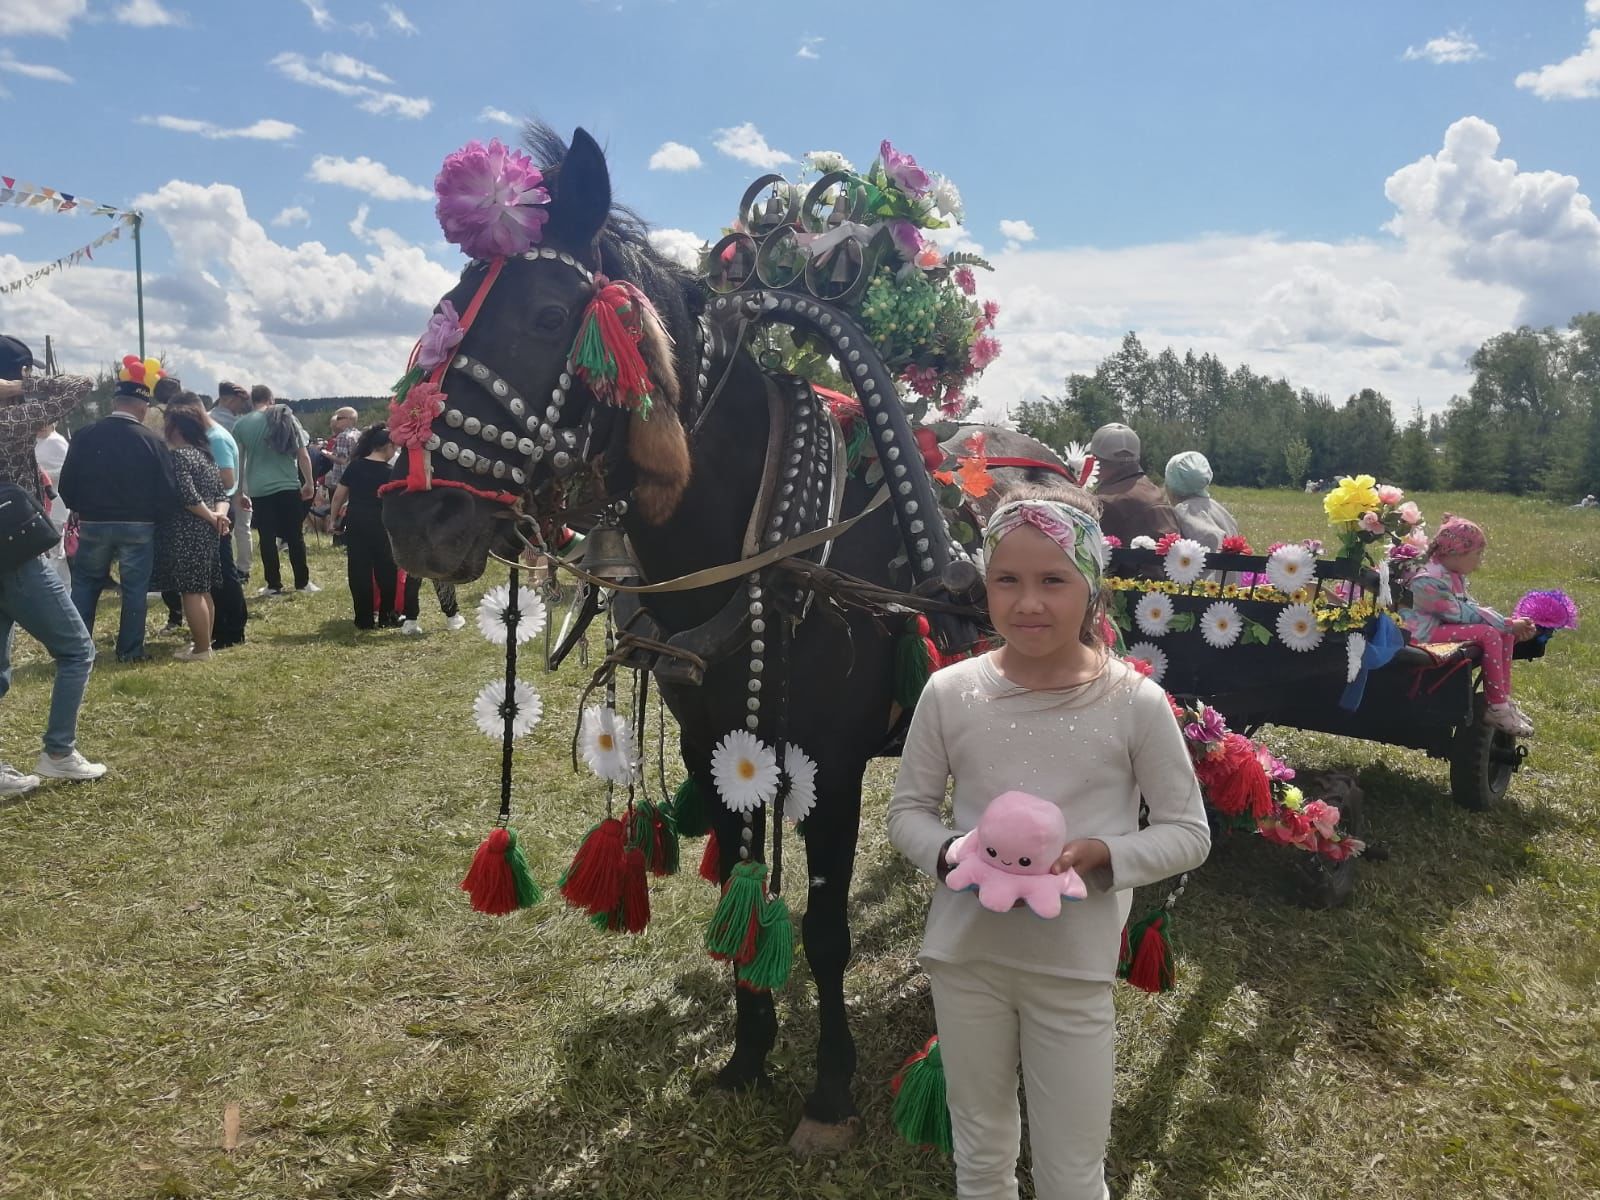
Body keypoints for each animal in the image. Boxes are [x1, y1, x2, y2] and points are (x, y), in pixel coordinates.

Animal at [382, 127, 1068, 1152]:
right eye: (448, 305)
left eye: (545, 315)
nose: (411, 518)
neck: (766, 544)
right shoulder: (721, 743)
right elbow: (738, 892)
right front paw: (747, 1054)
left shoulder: (833, 765)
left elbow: (823, 928)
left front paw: (828, 1090)